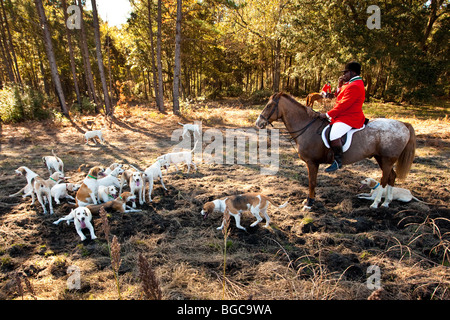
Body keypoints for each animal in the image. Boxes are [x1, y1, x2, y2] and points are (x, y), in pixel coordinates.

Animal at [255, 92, 416, 211]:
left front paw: (309, 204)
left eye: (269, 105)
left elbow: (312, 182)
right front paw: (308, 201)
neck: (307, 127)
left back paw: (375, 203)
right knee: (391, 177)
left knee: (384, 180)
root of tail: (403, 125)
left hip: (387, 159)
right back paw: (386, 202)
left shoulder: (312, 162)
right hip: (381, 158)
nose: (258, 123)